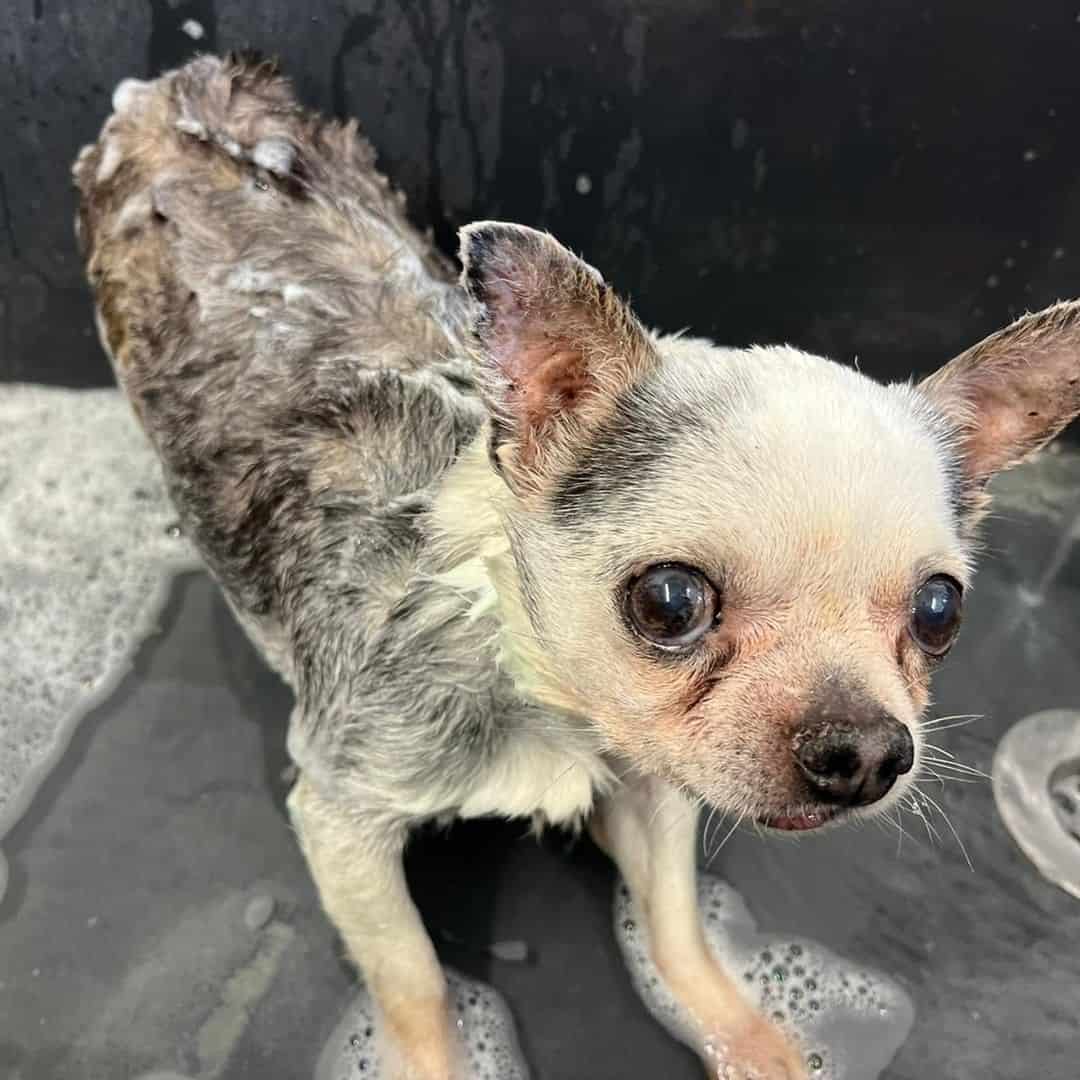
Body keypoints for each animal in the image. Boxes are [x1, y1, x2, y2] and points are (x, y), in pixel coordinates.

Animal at [73, 52, 1080, 1080]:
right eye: (670, 602)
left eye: (940, 612)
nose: (867, 750)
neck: (535, 678)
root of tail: (187, 86)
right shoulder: (345, 816)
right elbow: (414, 983)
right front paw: (434, 1059)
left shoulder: (650, 781)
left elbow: (676, 925)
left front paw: (753, 1038)